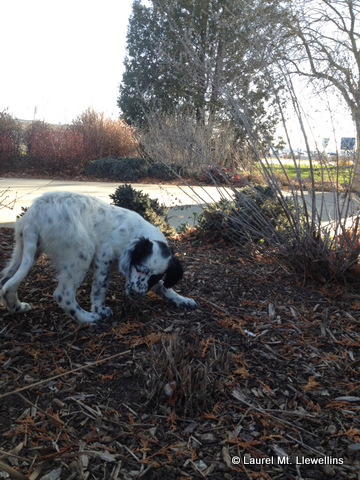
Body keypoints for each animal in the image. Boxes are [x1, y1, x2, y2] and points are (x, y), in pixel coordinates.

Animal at [0, 191, 197, 322]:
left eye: (155, 276)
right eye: (139, 268)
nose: (135, 294)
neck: (135, 233)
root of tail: (36, 212)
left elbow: (164, 287)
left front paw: (182, 299)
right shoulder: (104, 256)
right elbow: (101, 286)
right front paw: (100, 309)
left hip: (25, 249)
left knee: (6, 282)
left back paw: (16, 307)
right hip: (82, 252)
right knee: (63, 294)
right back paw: (88, 318)